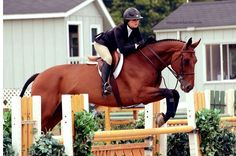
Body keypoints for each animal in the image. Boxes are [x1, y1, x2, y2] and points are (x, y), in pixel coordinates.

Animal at [20, 37, 200, 131]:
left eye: (196, 61)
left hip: (57, 111)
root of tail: (40, 75)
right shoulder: (140, 94)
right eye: (185, 60)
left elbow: (173, 94)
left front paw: (163, 117)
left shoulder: (150, 93)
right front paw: (162, 118)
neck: (146, 62)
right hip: (45, 108)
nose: (188, 87)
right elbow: (170, 92)